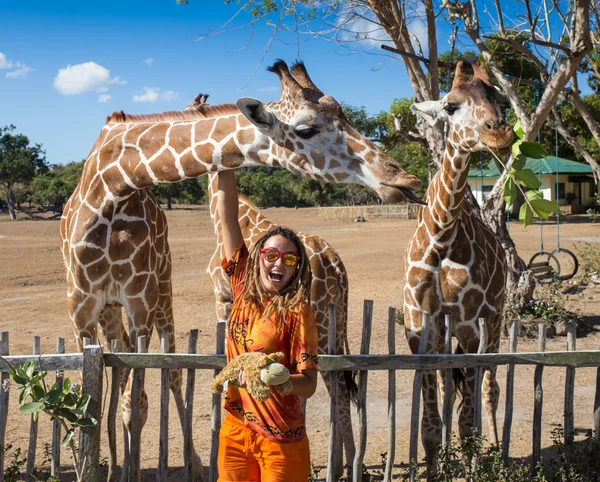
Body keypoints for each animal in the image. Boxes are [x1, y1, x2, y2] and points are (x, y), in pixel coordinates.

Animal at [58, 59, 420, 478]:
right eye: (306, 129)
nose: (404, 179)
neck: (114, 184)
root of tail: (336, 263)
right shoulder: (81, 308)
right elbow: (87, 405)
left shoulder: (145, 303)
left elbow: (140, 399)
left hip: (167, 300)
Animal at [400, 60, 512, 474]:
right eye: (450, 106)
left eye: (502, 102)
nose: (499, 132)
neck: (440, 238)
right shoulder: (420, 320)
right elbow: (431, 425)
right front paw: (438, 467)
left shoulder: (468, 318)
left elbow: (467, 421)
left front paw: (474, 466)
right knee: (455, 386)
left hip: (494, 315)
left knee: (489, 387)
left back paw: (498, 456)